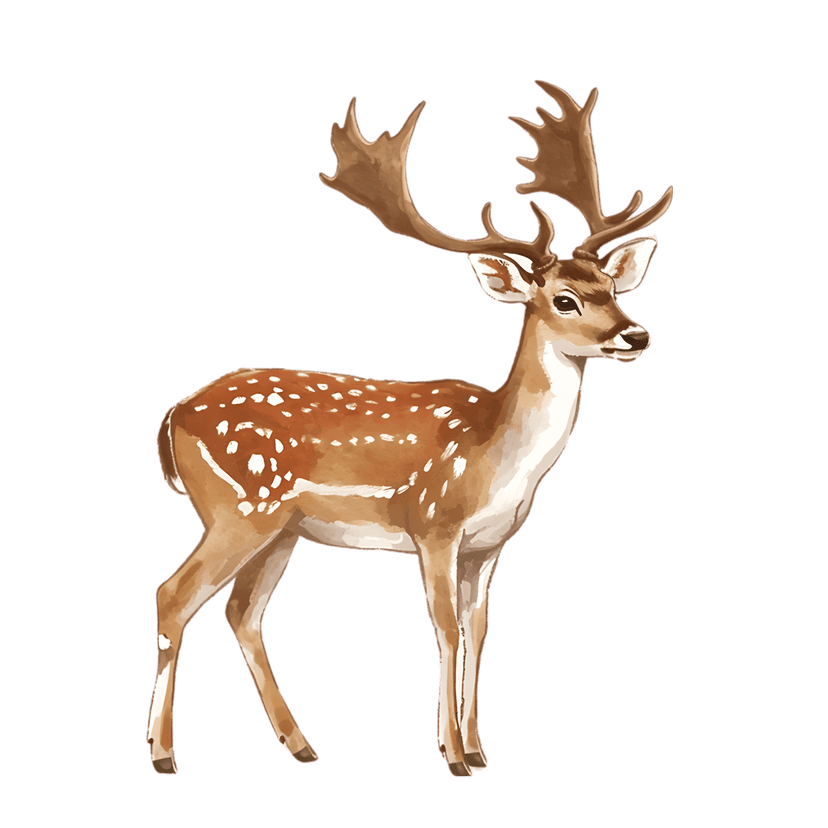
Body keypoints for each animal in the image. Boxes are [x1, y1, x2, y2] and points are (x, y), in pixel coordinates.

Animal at [147, 80, 673, 778]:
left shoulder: (489, 545)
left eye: (613, 286)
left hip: (282, 528)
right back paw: (163, 754)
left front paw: (478, 749)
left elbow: (479, 632)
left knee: (242, 611)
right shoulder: (434, 523)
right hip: (239, 508)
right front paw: (453, 757)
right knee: (174, 595)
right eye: (564, 298)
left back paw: (300, 743)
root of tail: (174, 414)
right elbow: (445, 628)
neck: (496, 457)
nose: (635, 335)